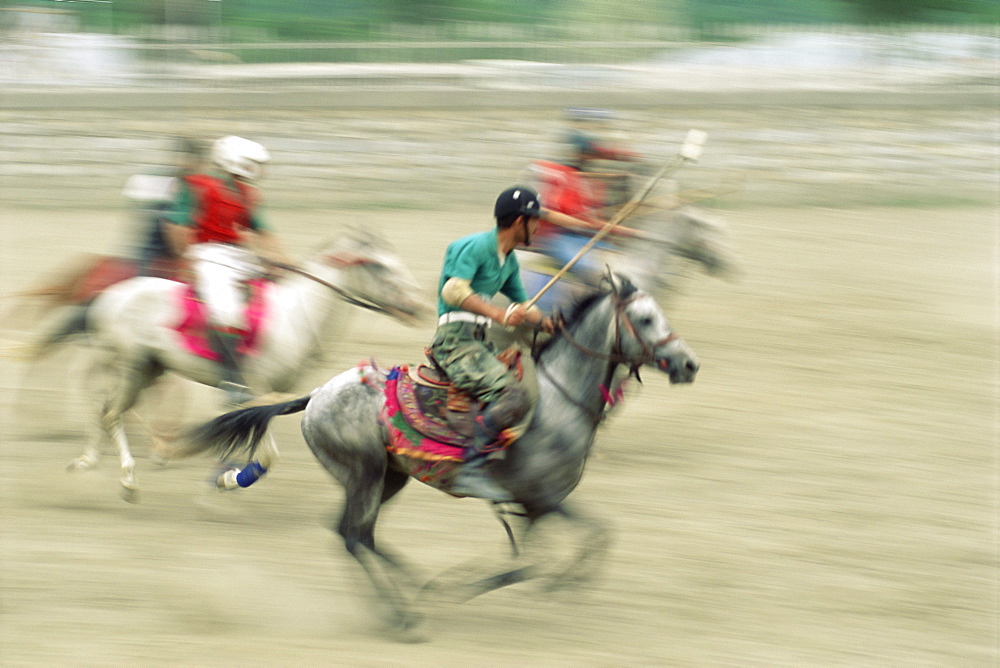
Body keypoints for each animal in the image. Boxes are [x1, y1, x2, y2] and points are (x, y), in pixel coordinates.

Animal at [57, 232, 426, 498]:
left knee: (107, 409)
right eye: (380, 267)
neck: (295, 315)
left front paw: (223, 475)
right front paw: (230, 479)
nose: (416, 306)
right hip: (132, 366)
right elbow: (267, 454)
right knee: (110, 412)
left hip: (150, 368)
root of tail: (108, 296)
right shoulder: (254, 391)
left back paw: (90, 460)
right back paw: (128, 477)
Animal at [182, 274, 696, 636]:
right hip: (365, 473)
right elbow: (547, 557)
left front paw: (552, 582)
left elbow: (574, 546)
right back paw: (403, 615)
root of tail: (313, 397)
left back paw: (411, 589)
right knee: (353, 535)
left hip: (389, 478)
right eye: (645, 319)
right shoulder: (542, 499)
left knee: (360, 535)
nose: (689, 364)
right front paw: (457, 588)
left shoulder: (537, 508)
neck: (559, 402)